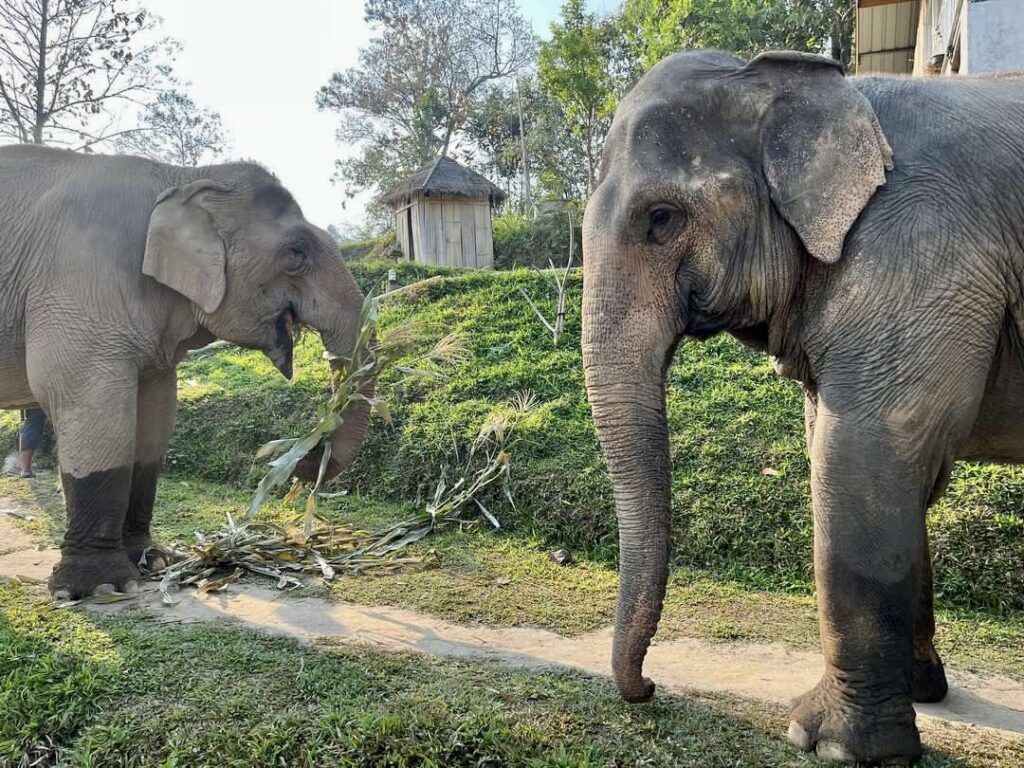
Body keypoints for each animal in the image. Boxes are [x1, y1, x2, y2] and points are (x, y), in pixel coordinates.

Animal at [0, 144, 372, 602]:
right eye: (296, 252)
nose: (301, 465)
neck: (182, 176)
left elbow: (155, 416)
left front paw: (151, 562)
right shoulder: (78, 283)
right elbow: (88, 403)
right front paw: (101, 586)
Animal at [585, 51, 1024, 765]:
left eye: (661, 218)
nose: (648, 688)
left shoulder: (917, 256)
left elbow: (860, 458)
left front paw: (829, 743)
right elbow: (892, 476)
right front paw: (920, 692)